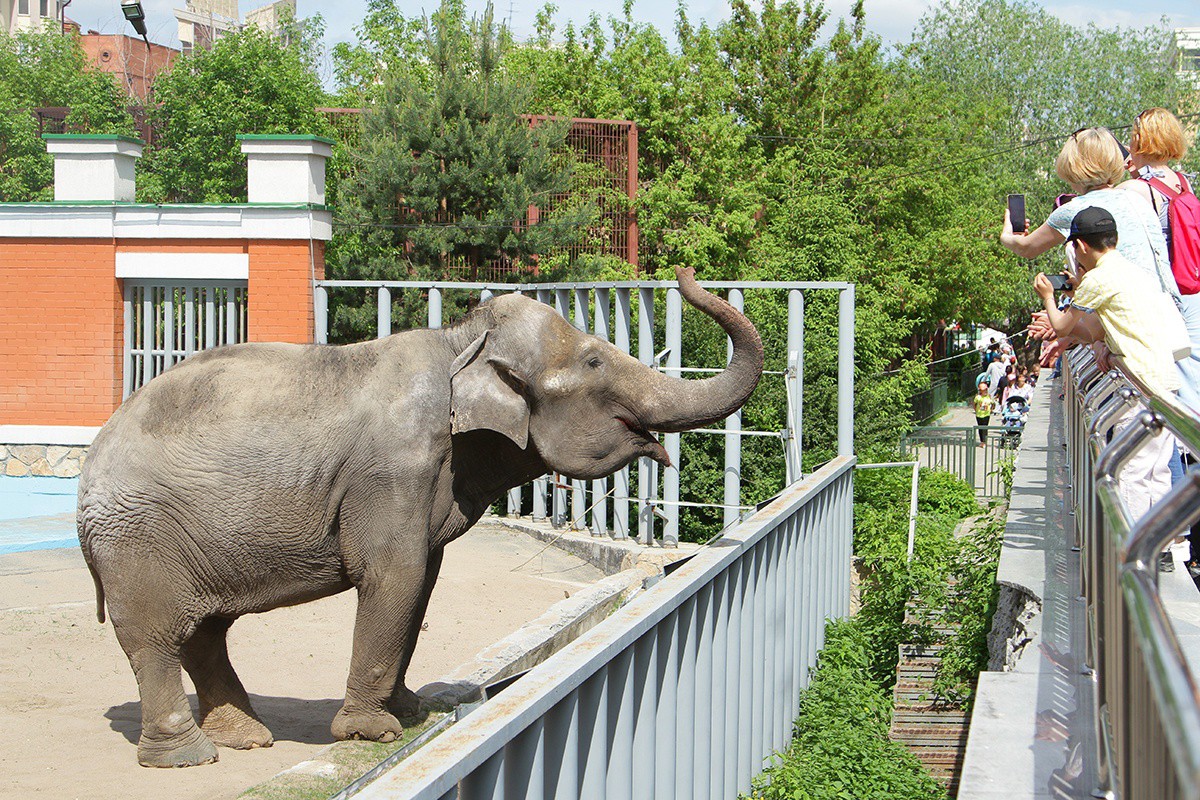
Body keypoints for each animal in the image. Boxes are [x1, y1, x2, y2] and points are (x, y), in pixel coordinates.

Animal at [77, 266, 758, 767]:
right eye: (594, 363)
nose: (684, 271)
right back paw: (186, 758)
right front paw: (372, 733)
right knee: (157, 636)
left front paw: (409, 712)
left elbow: (423, 581)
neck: (459, 341)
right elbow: (394, 577)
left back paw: (244, 738)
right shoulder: (395, 470)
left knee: (205, 631)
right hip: (135, 535)